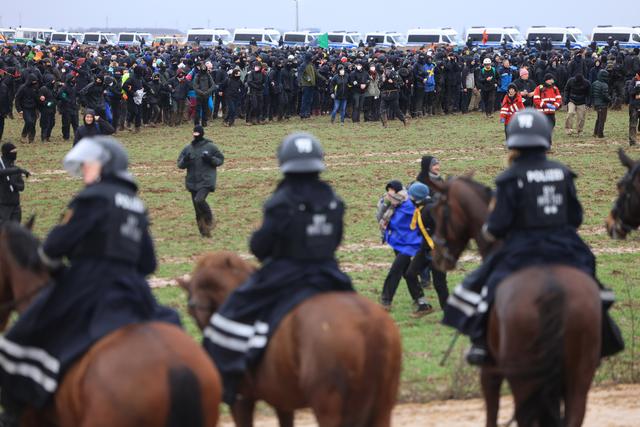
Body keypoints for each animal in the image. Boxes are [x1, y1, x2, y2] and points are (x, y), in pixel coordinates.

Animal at [179, 252, 400, 426]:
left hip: (329, 409)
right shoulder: (282, 401)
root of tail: (365, 322)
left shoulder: (242, 401)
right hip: (382, 408)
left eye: (191, 312)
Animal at [428, 176, 604, 426]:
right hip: (577, 376)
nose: (437, 257)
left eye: (438, 211)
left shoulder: (490, 371)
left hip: (522, 376)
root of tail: (551, 289)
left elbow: (491, 414)